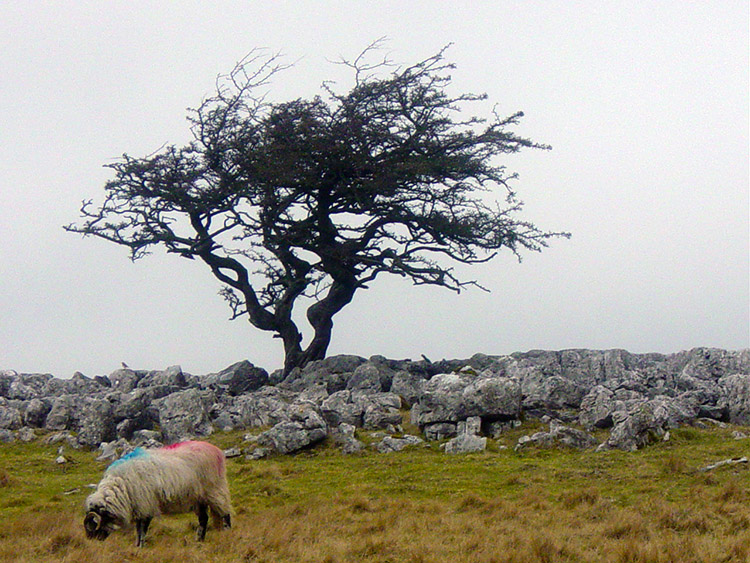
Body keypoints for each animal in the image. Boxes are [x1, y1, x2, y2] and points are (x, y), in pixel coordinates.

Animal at [83, 438, 234, 548]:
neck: (121, 486)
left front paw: (140, 546)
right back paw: (199, 540)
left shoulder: (146, 505)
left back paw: (227, 533)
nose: (92, 541)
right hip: (199, 497)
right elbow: (138, 529)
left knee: (225, 513)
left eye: (92, 526)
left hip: (215, 489)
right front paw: (137, 545)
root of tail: (216, 450)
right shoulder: (140, 507)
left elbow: (142, 528)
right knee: (204, 519)